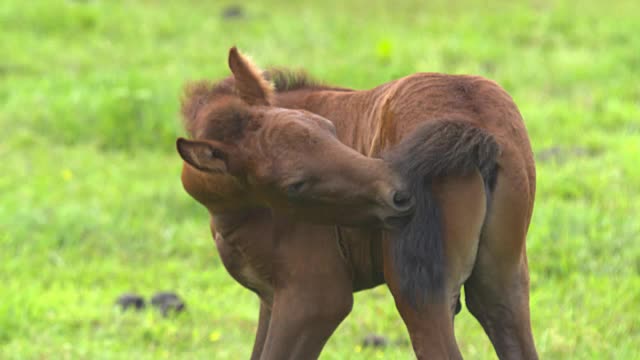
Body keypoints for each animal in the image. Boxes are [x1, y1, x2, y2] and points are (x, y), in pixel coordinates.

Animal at [175, 47, 536, 360]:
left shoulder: (315, 297)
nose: (398, 194)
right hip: (502, 284)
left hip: (420, 290)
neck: (232, 210)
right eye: (295, 186)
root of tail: (474, 121)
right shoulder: (271, 296)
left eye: (328, 126)